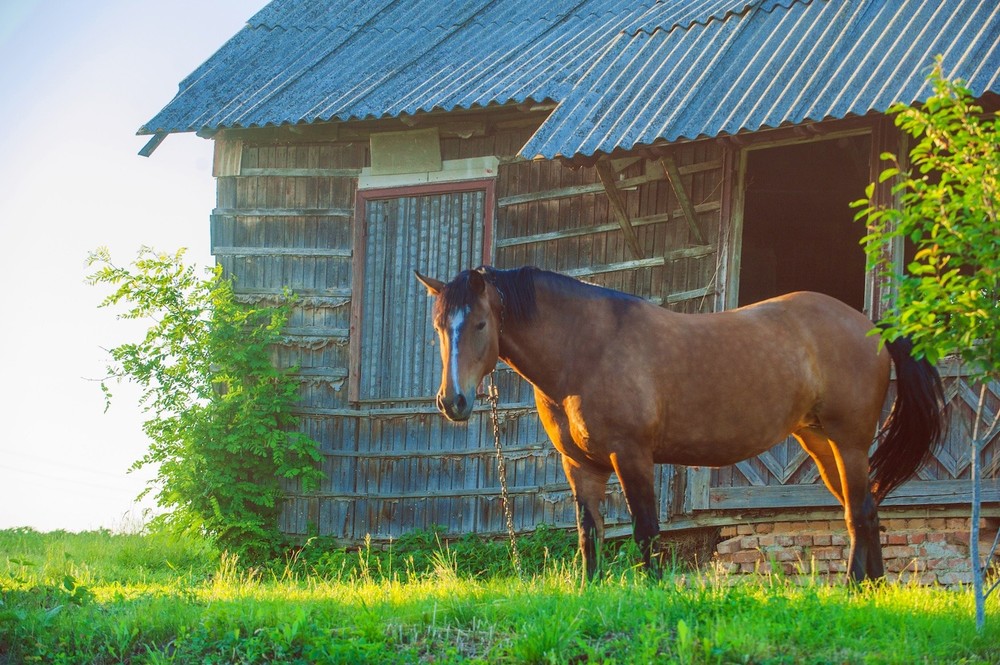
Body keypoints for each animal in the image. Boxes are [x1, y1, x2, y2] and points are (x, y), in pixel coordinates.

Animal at [416, 264, 944, 580]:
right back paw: (872, 587)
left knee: (860, 512)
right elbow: (589, 534)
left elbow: (646, 530)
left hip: (848, 442)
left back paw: (855, 586)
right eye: (438, 327)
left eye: (480, 324)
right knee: (865, 509)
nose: (452, 401)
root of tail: (871, 325)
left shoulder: (631, 455)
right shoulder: (580, 465)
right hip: (821, 443)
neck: (586, 348)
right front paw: (590, 591)